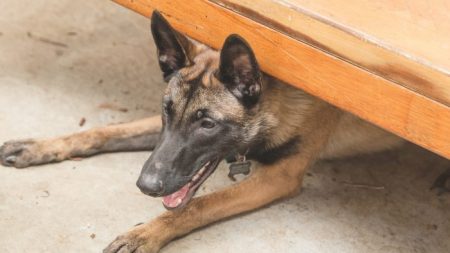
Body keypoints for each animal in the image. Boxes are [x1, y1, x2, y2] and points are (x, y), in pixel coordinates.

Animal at [0, 10, 448, 253]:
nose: (146, 185)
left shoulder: (277, 178)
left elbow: (194, 206)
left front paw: (147, 232)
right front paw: (39, 145)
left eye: (208, 124)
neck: (272, 101)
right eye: (167, 111)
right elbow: (106, 131)